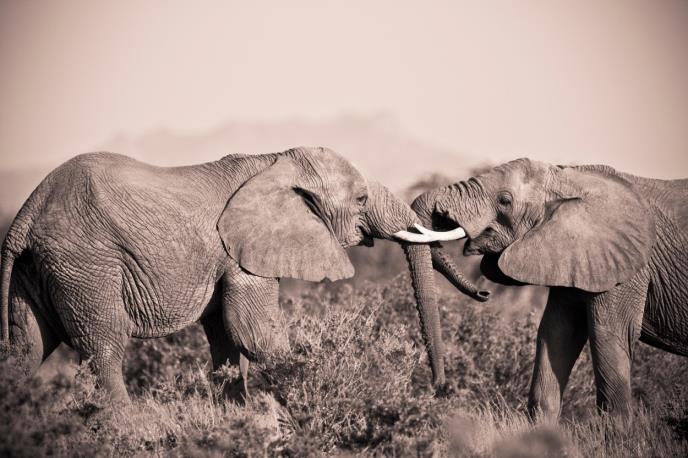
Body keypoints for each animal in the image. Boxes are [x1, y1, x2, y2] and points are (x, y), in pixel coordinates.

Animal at [0, 146, 479, 403]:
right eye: (361, 199)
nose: (439, 389)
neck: (276, 161)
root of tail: (25, 214)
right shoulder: (241, 254)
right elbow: (255, 333)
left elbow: (226, 338)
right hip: (85, 263)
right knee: (104, 346)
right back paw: (129, 430)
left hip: (38, 269)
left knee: (26, 348)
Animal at [401, 158, 688, 418]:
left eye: (505, 200)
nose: (439, 387)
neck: (571, 179)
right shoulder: (574, 255)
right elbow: (557, 332)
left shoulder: (629, 268)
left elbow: (609, 335)